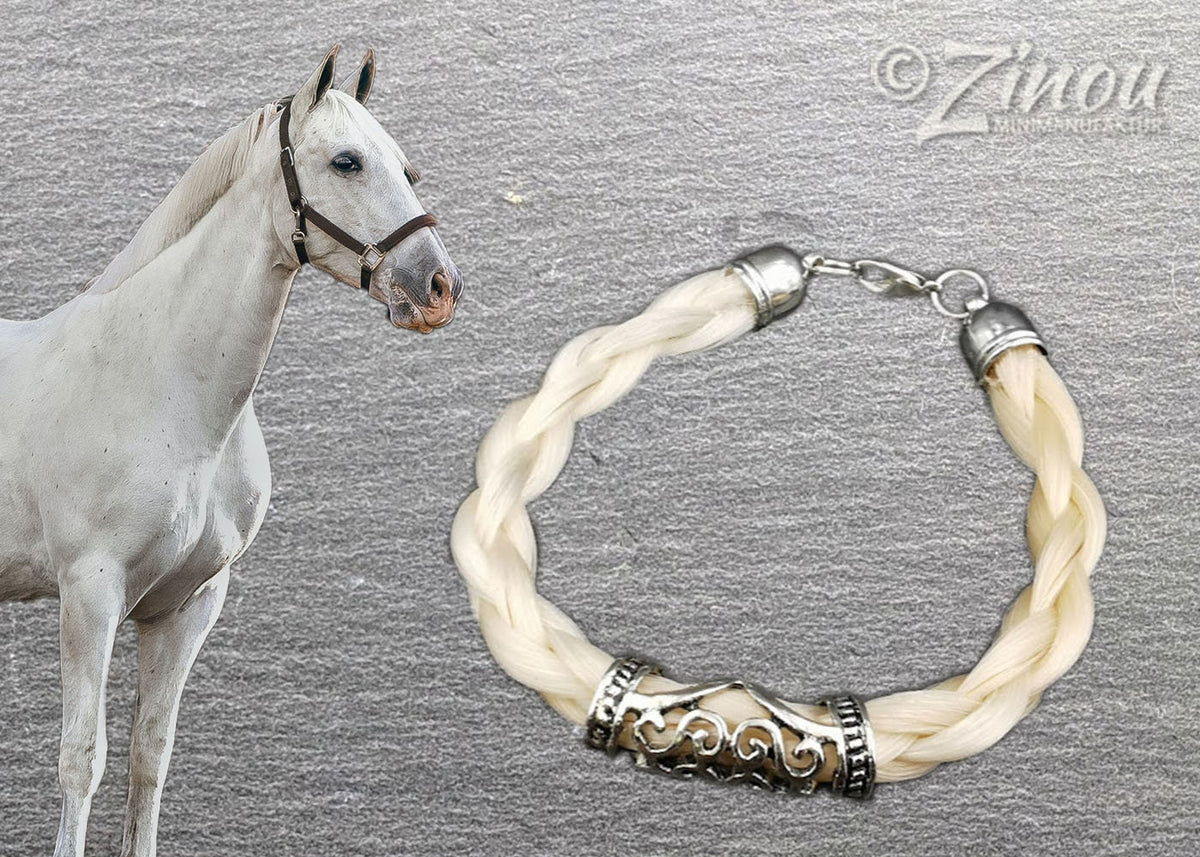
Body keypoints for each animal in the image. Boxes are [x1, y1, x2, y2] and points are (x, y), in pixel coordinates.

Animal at [0, 45, 461, 857]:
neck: (160, 385)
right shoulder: (89, 593)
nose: (436, 286)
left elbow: (149, 756)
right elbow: (81, 759)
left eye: (408, 168)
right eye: (346, 161)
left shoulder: (187, 605)